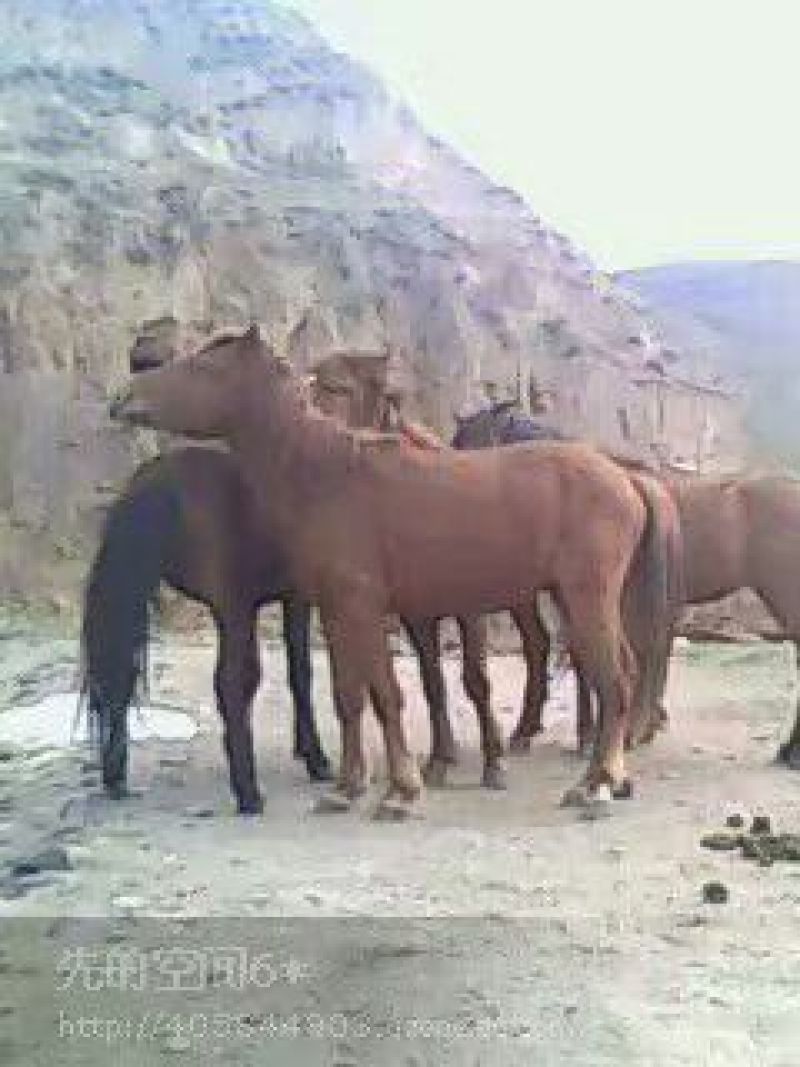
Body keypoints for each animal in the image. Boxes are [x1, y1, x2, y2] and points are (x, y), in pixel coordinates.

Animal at [80, 446, 332, 815]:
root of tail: (157, 483)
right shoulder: (295, 597)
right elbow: (300, 674)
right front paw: (315, 758)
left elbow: (298, 672)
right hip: (234, 608)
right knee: (232, 682)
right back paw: (247, 792)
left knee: (122, 679)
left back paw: (115, 778)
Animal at [110, 324, 674, 815]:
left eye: (204, 365)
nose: (123, 394)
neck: (329, 476)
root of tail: (625, 478)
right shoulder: (338, 613)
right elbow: (349, 695)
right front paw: (346, 787)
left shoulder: (364, 607)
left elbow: (385, 694)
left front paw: (402, 790)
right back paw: (612, 778)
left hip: (585, 599)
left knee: (615, 679)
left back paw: (595, 784)